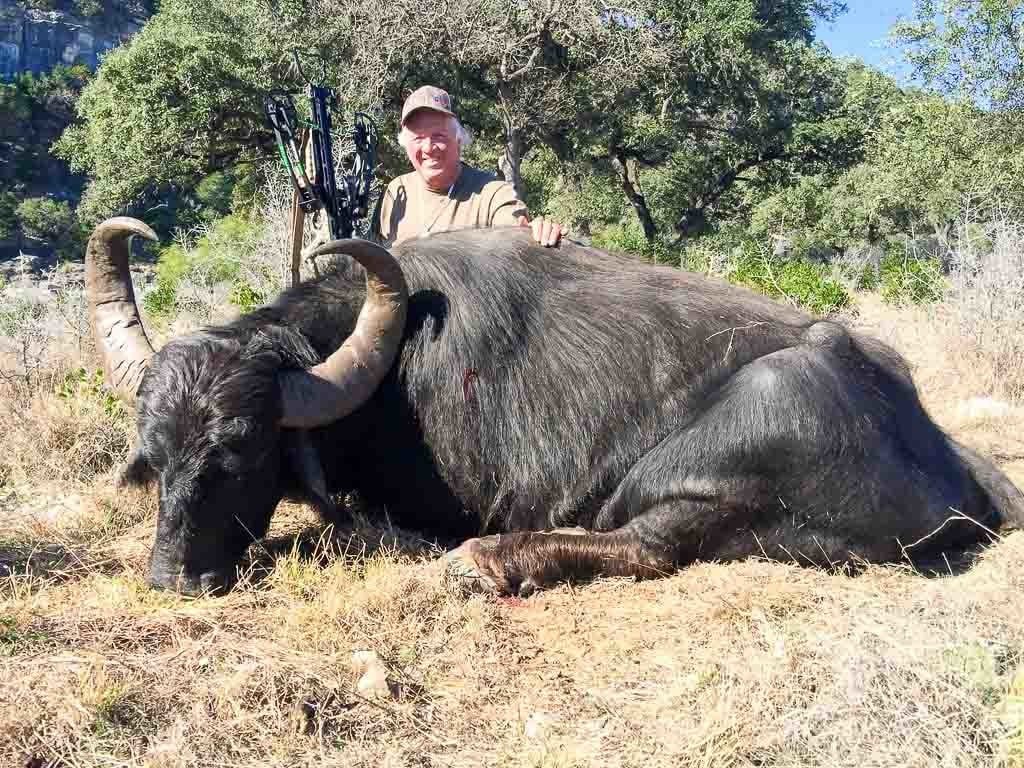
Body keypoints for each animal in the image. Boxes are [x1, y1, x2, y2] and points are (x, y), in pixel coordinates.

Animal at [88, 219, 1024, 598]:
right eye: (155, 457)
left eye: (242, 451)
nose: (173, 579)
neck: (394, 365)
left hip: (741, 427)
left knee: (648, 546)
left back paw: (482, 564)